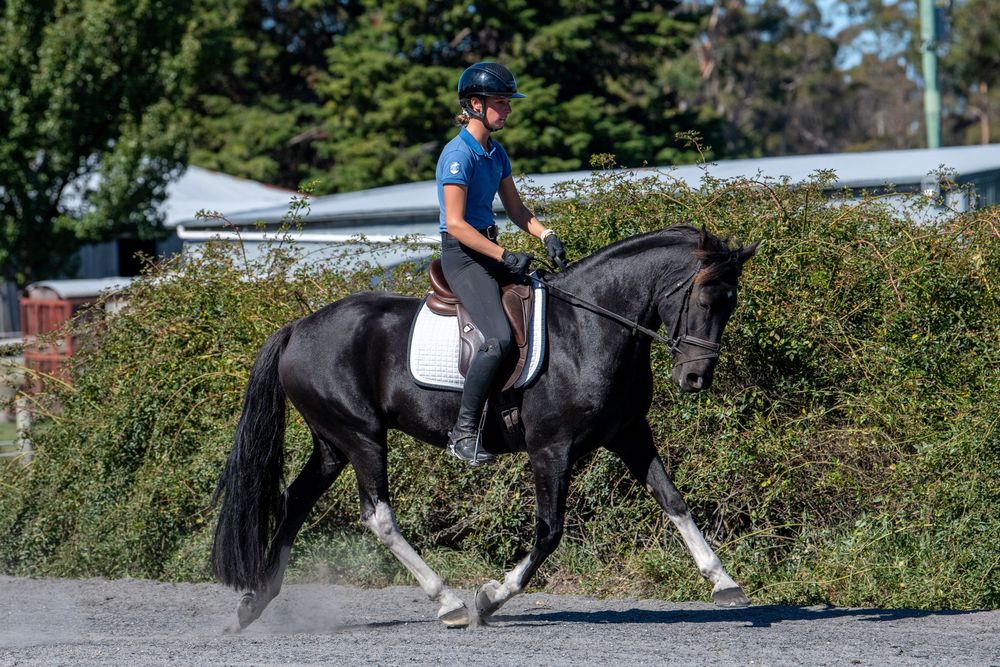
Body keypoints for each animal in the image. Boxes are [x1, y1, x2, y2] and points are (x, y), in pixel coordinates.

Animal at [211, 224, 758, 631]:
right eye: (706, 300)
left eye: (731, 303)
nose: (695, 379)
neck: (588, 331)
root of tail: (296, 329)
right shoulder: (551, 449)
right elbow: (549, 531)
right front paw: (491, 597)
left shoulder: (630, 434)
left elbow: (674, 501)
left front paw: (723, 582)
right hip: (362, 436)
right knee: (378, 517)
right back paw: (449, 602)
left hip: (332, 443)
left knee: (295, 500)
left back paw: (253, 604)